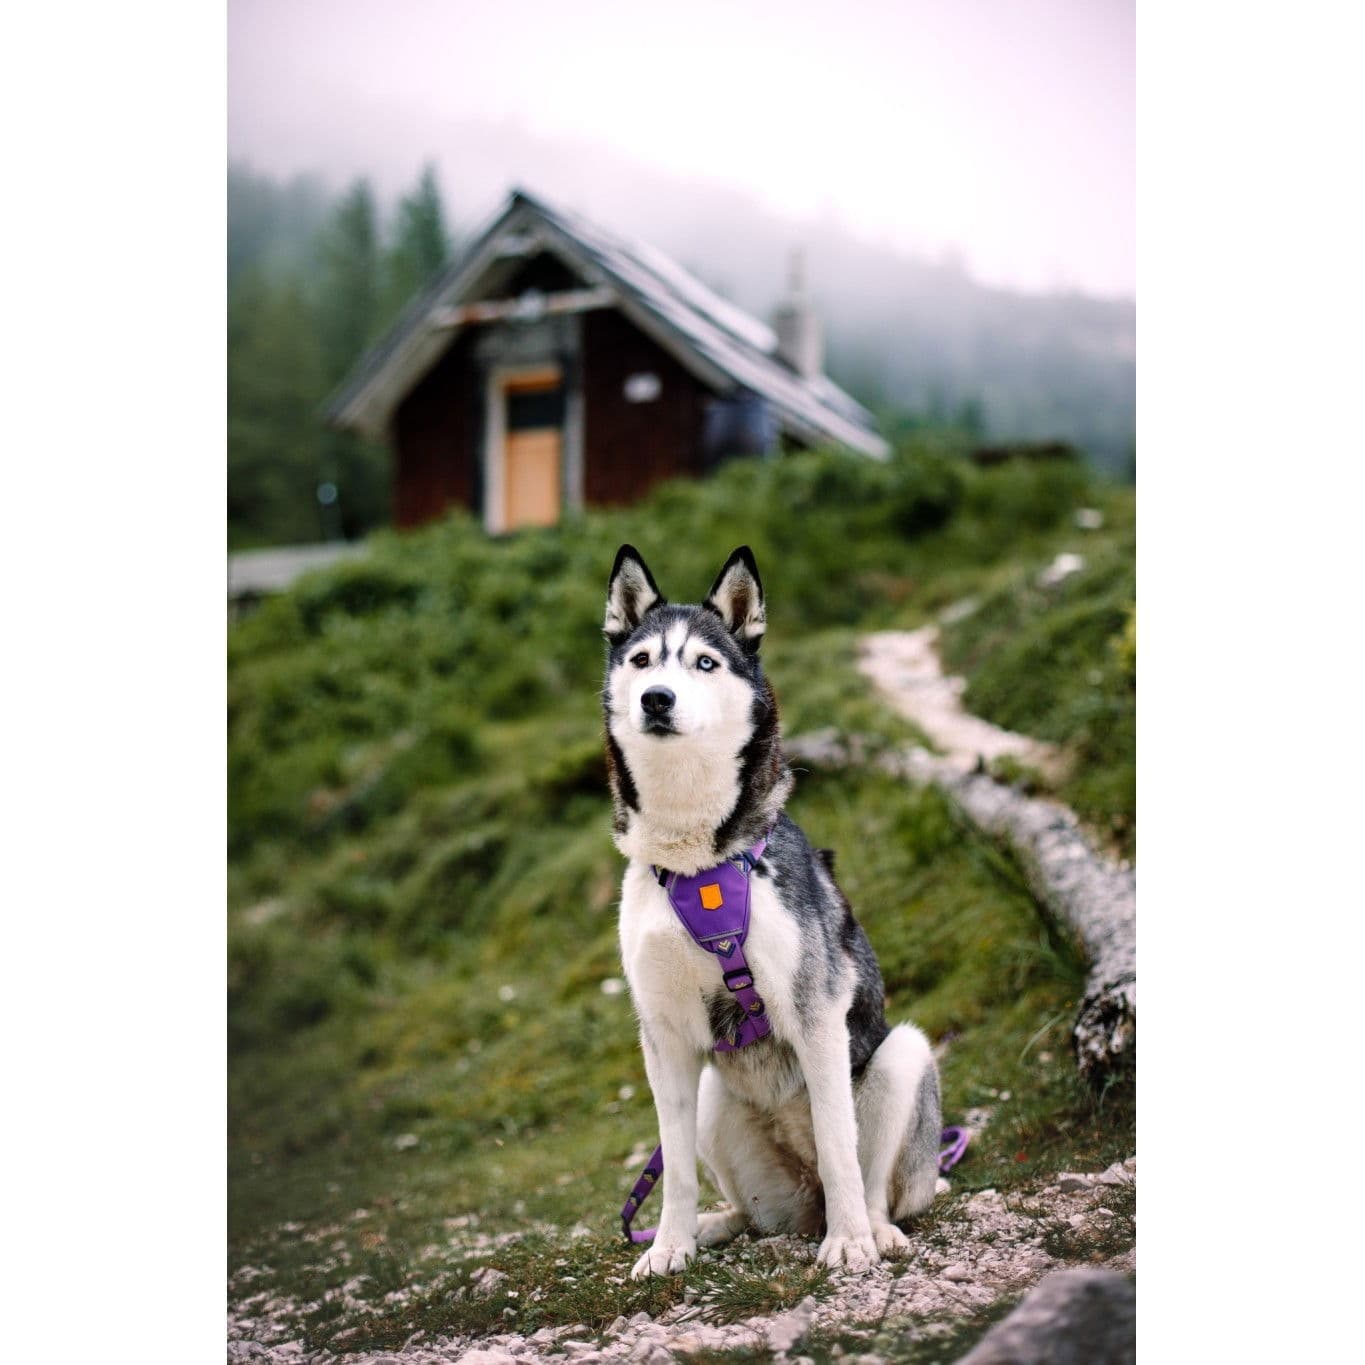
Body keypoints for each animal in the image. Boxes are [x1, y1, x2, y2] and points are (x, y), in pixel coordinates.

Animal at [602, 544, 942, 1279]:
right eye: (642, 660)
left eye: (704, 662)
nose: (656, 698)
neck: (699, 861)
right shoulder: (663, 1034)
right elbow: (673, 1170)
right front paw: (667, 1245)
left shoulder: (817, 1014)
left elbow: (841, 1147)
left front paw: (849, 1244)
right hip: (715, 1105)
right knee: (753, 1211)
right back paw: (716, 1224)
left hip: (902, 1056)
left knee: (869, 1182)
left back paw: (872, 1229)